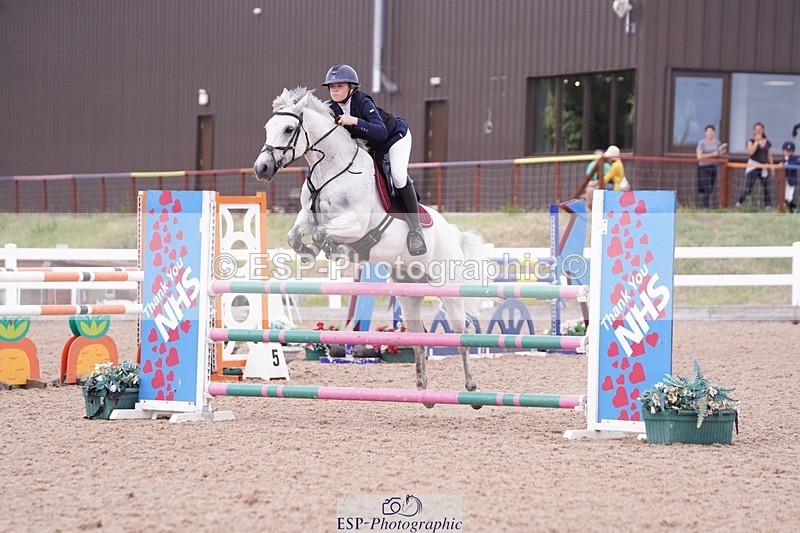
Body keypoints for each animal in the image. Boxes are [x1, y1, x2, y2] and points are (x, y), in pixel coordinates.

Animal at [253, 87, 488, 396]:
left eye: (289, 129)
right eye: (268, 127)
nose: (261, 168)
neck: (332, 169)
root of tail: (452, 231)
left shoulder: (356, 223)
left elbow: (323, 232)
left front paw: (334, 250)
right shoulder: (307, 215)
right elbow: (296, 236)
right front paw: (307, 252)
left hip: (448, 288)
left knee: (461, 335)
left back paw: (471, 386)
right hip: (408, 291)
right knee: (419, 336)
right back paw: (422, 390)